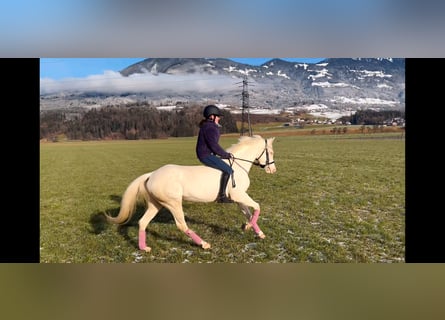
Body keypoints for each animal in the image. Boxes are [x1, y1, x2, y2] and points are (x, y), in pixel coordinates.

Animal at [105, 134, 278, 251]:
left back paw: (144, 248)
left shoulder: (239, 198)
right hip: (173, 203)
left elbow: (249, 213)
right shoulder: (239, 195)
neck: (238, 166)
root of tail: (152, 174)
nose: (273, 170)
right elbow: (258, 207)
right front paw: (248, 227)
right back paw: (204, 244)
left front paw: (256, 231)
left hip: (156, 205)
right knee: (181, 225)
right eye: (270, 152)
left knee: (142, 222)